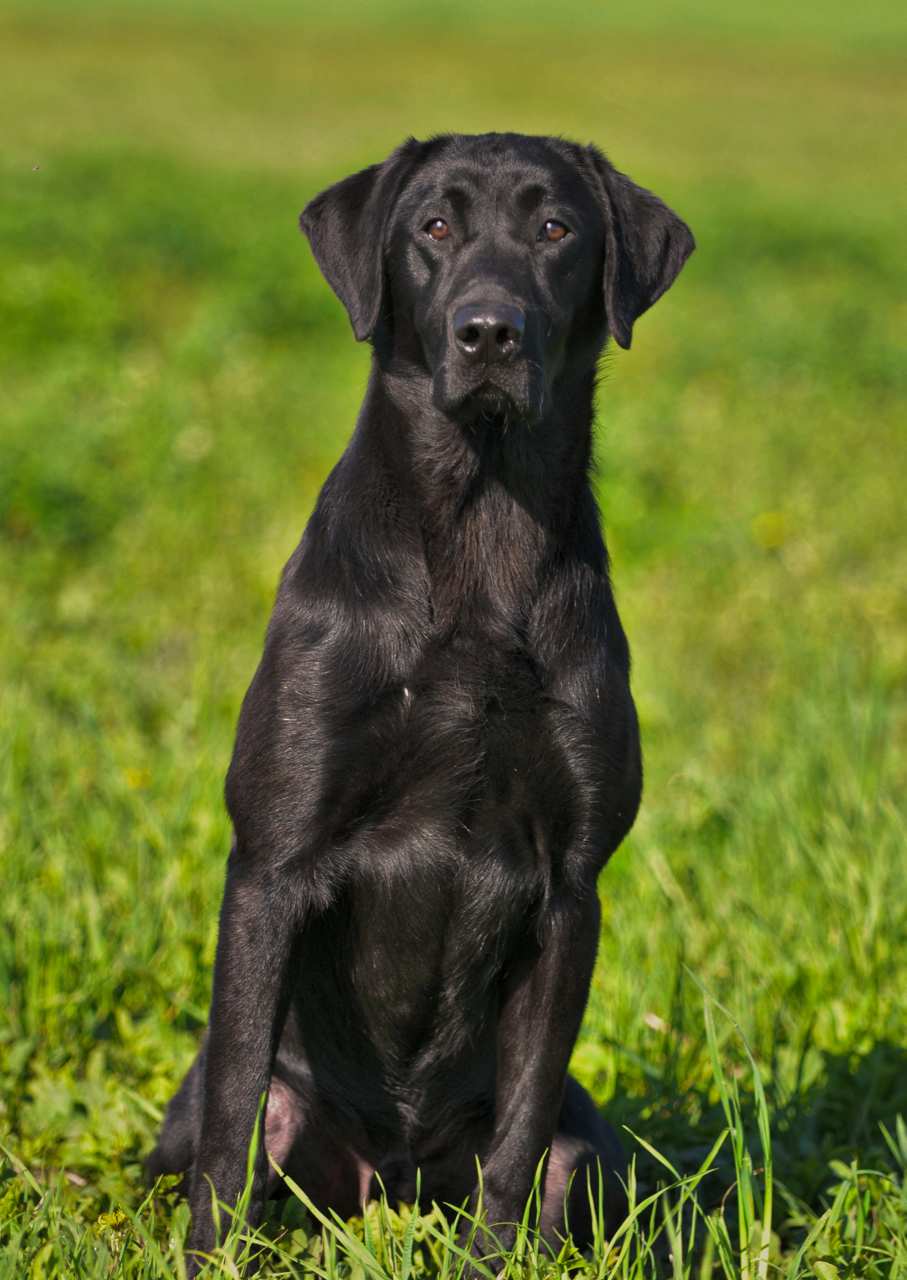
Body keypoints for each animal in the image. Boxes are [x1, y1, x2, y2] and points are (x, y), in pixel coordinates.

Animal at [150, 129, 695, 1269]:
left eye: (555, 227)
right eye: (433, 227)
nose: (487, 330)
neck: (479, 533)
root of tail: (388, 1178)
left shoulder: (570, 892)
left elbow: (517, 1144)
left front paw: (493, 1263)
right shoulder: (271, 865)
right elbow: (230, 1133)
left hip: (587, 1145)